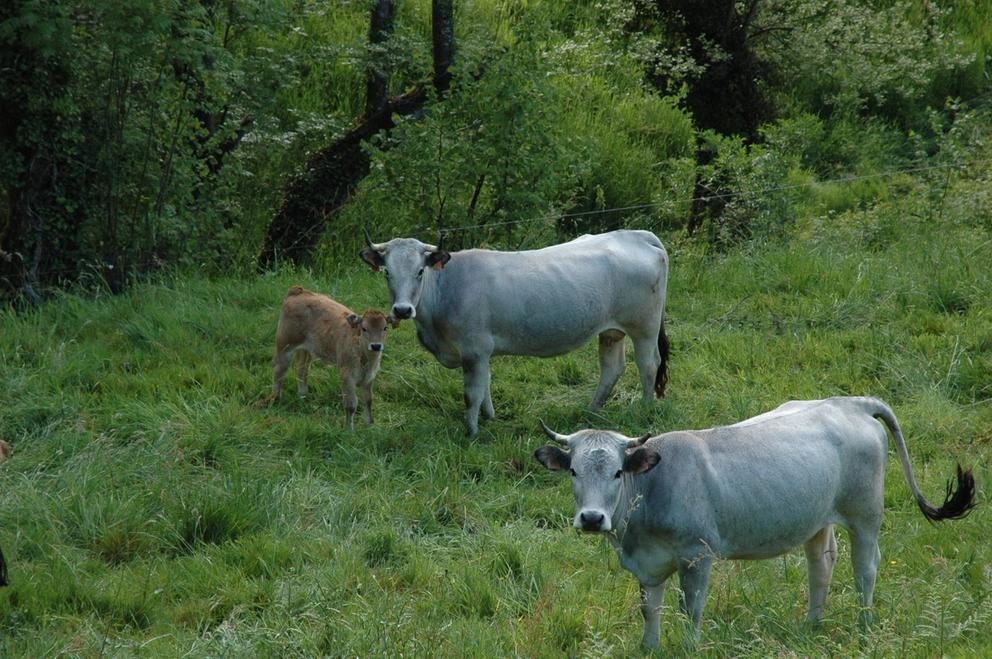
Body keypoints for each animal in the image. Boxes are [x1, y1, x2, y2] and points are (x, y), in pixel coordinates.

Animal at [264, 286, 399, 429]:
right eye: (364, 328)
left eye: (385, 328)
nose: (376, 346)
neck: (364, 358)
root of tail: (299, 291)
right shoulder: (346, 377)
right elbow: (351, 404)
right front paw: (349, 429)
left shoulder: (368, 378)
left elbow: (368, 400)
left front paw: (369, 424)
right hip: (285, 346)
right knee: (279, 370)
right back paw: (275, 398)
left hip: (305, 350)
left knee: (301, 370)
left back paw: (303, 396)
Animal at [360, 229, 669, 436]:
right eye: (387, 272)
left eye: (420, 272)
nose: (402, 310)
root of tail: (636, 235)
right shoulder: (480, 354)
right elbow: (485, 385)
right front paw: (489, 417)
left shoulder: (474, 349)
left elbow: (472, 393)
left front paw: (471, 432)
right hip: (611, 331)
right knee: (612, 368)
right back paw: (591, 411)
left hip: (644, 327)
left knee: (648, 365)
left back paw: (645, 408)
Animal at [533, 397, 976, 648]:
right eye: (573, 470)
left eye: (616, 473)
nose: (592, 518)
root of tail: (849, 402)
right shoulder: (648, 565)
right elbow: (650, 611)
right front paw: (649, 647)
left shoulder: (697, 556)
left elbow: (690, 608)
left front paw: (689, 646)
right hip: (817, 518)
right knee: (822, 563)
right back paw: (812, 624)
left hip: (865, 514)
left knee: (865, 568)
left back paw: (865, 626)